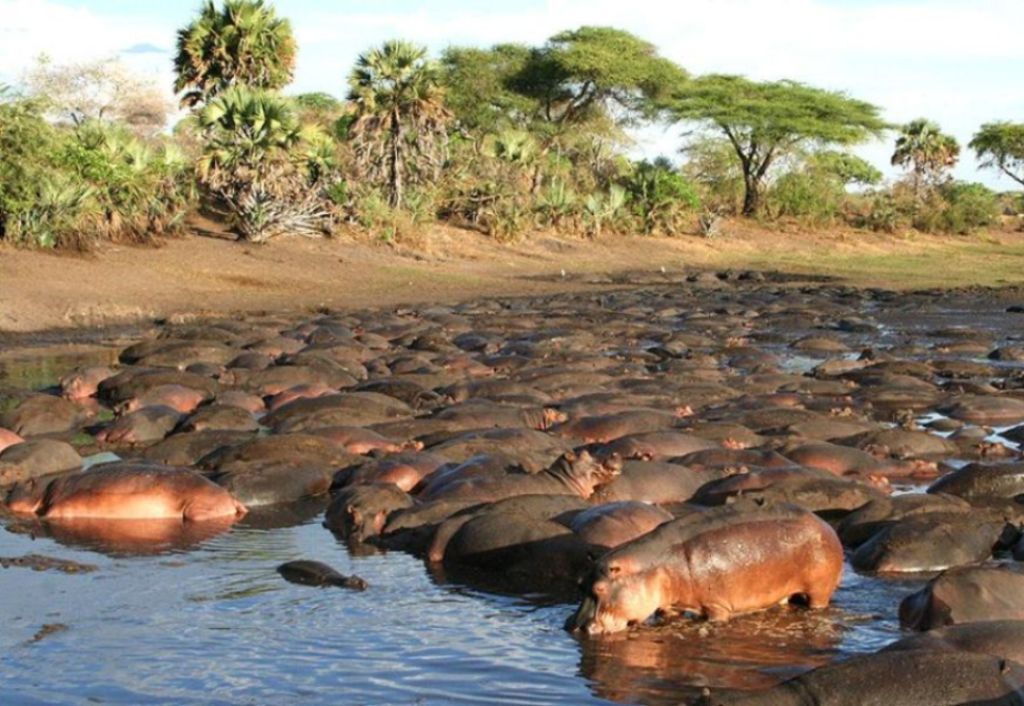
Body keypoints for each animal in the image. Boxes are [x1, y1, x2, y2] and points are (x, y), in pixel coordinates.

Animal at [565, 502, 843, 635]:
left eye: (600, 588)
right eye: (579, 583)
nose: (573, 627)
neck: (657, 563)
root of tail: (825, 524)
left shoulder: (717, 606)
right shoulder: (668, 606)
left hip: (819, 590)